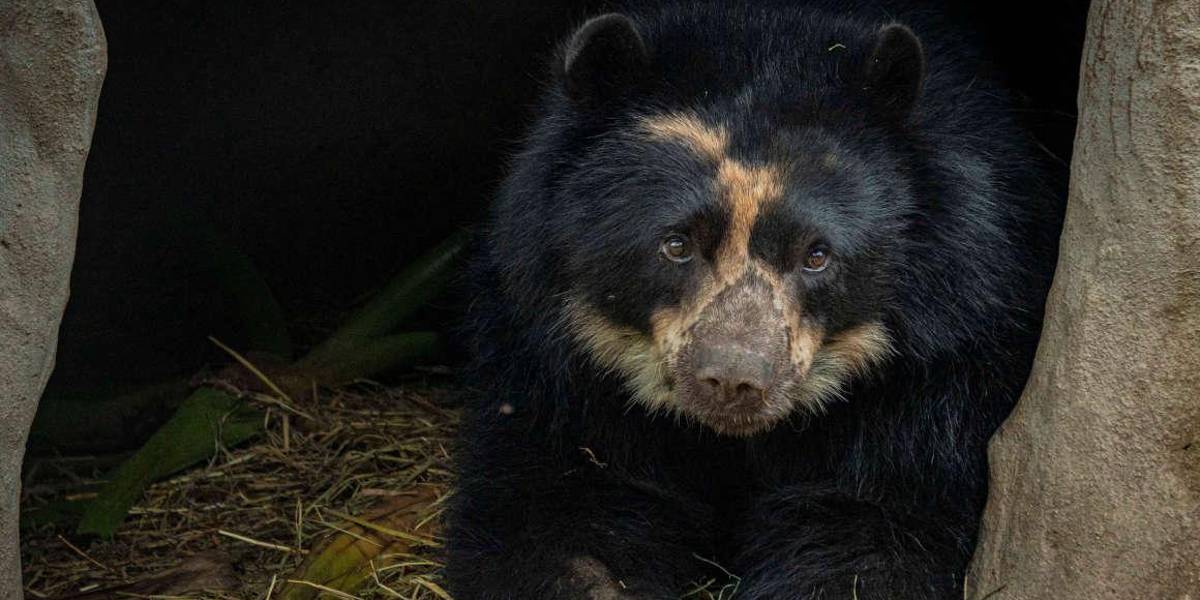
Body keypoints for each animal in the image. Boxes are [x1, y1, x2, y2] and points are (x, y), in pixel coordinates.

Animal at [446, 1, 1061, 598]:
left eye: (817, 255)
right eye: (676, 244)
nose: (734, 382)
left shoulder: (938, 378)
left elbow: (872, 527)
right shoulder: (551, 368)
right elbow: (559, 517)